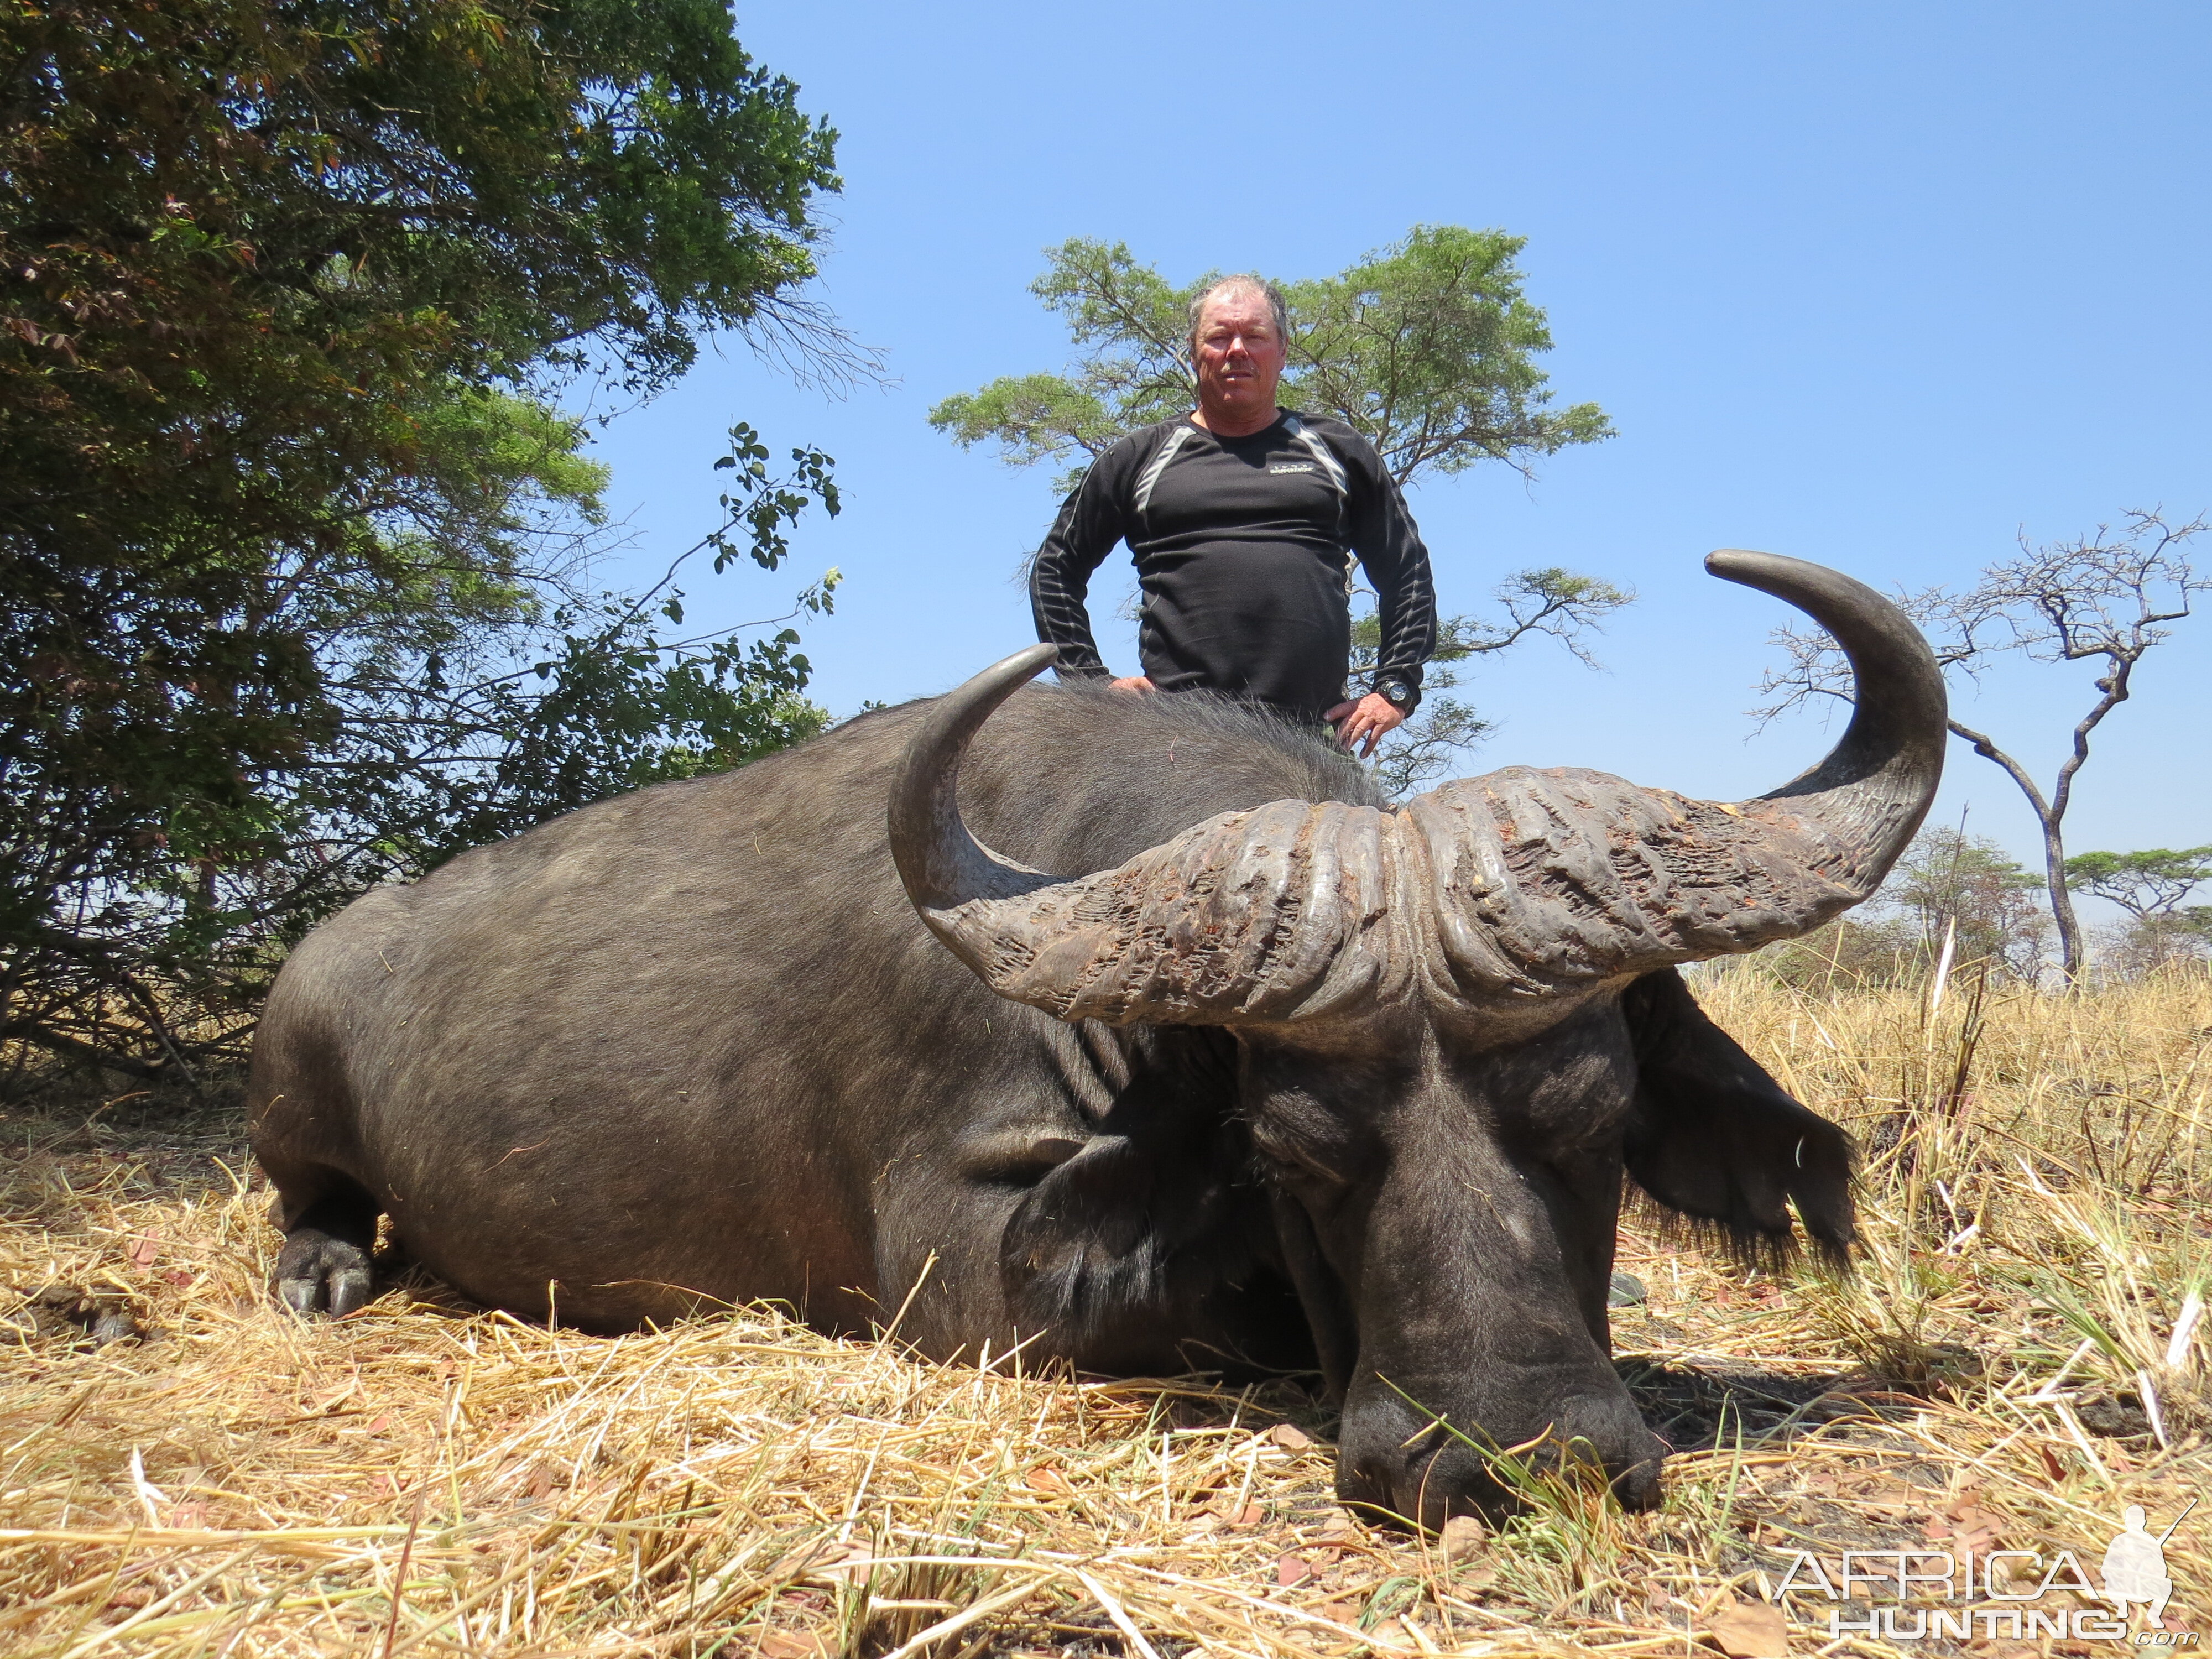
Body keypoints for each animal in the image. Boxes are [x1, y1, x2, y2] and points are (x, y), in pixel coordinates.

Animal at [251, 553, 1947, 1531]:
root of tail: (348, 937)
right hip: (292, 1086)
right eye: (1287, 1153)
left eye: (1596, 1118)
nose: (1507, 1455)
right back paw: (323, 1270)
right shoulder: (966, 1282)